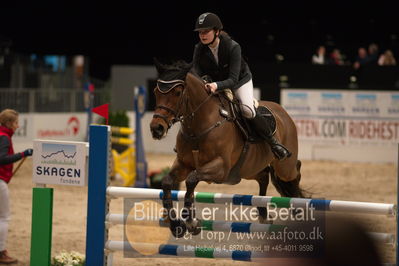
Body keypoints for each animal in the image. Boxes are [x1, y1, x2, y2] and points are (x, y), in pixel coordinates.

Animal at [150, 59, 306, 237]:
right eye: (155, 92)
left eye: (177, 93)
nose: (156, 128)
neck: (199, 126)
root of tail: (283, 112)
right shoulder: (183, 164)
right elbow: (167, 182)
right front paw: (176, 225)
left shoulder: (220, 168)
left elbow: (191, 179)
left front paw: (191, 222)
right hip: (248, 169)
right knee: (264, 176)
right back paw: (263, 214)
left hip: (283, 167)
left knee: (294, 172)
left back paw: (299, 209)